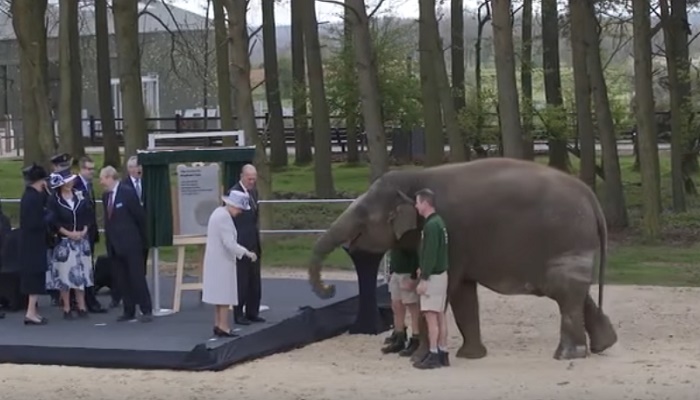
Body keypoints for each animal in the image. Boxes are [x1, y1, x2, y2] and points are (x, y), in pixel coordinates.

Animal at [308, 157, 618, 361]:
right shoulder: (462, 249)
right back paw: (602, 346)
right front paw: (471, 356)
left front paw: (419, 359)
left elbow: (444, 290)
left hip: (567, 240)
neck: (414, 177)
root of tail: (591, 197)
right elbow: (463, 295)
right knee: (575, 293)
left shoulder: (452, 239)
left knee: (565, 293)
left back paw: (568, 355)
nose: (329, 289)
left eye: (362, 215)